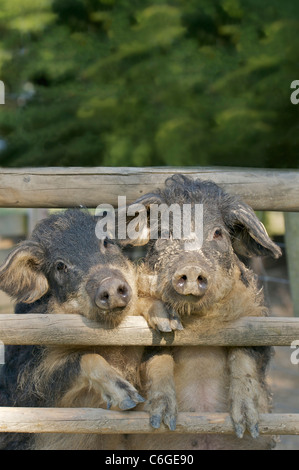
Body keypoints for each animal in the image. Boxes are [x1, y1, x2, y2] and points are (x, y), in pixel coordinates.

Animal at [0, 209, 178, 452]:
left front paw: (165, 421)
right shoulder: (28, 385)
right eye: (60, 266)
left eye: (107, 241)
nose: (109, 284)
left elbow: (162, 356)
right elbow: (82, 358)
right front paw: (130, 400)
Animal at [125, 174, 282, 450]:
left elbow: (244, 358)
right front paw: (162, 421)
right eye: (164, 232)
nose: (191, 268)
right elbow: (158, 358)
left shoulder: (257, 324)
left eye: (218, 232)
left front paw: (246, 425)